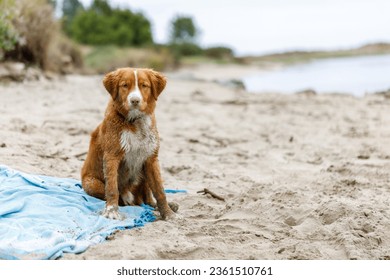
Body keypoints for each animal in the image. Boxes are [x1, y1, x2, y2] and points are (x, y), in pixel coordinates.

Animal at [80, 68, 175, 221]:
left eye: (144, 85)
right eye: (125, 85)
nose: (135, 100)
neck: (135, 122)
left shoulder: (151, 159)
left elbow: (160, 190)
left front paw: (168, 213)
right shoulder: (112, 156)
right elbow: (112, 188)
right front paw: (111, 211)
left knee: (146, 198)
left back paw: (157, 206)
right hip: (91, 183)